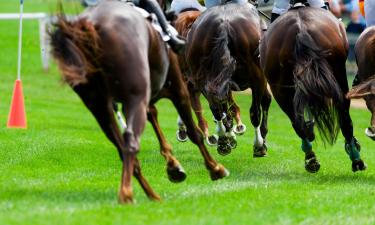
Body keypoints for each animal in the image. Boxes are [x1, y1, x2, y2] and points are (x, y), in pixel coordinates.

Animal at [48, 0, 228, 204]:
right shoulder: (177, 90)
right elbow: (194, 133)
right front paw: (215, 168)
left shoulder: (146, 99)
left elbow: (155, 119)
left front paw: (173, 166)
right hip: (135, 98)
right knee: (131, 142)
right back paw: (127, 193)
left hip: (100, 107)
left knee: (123, 149)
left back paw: (150, 194)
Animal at [185, 3, 270, 157]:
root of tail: (223, 24)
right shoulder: (260, 79)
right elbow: (264, 101)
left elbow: (226, 107)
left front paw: (229, 135)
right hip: (257, 75)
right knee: (255, 111)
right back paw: (258, 145)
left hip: (200, 78)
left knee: (216, 107)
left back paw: (223, 141)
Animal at [260, 6, 368, 172]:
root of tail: (300, 29)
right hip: (336, 72)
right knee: (343, 113)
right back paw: (354, 157)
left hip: (278, 86)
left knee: (297, 122)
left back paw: (312, 157)